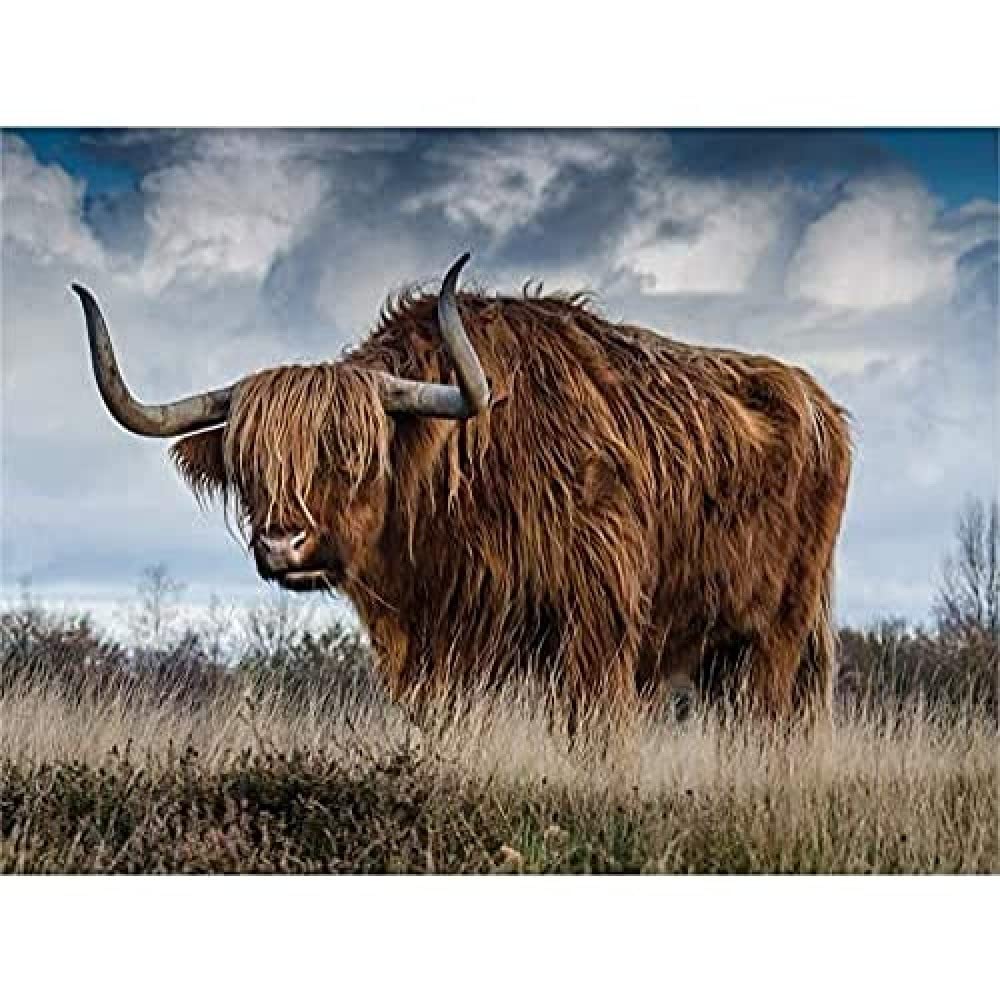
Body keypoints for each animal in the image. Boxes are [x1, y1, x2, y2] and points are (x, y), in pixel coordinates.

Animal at [71, 254, 852, 725]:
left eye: (353, 454)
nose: (283, 544)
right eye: (250, 465)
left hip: (778, 632)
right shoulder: (435, 650)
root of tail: (819, 401)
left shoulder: (597, 624)